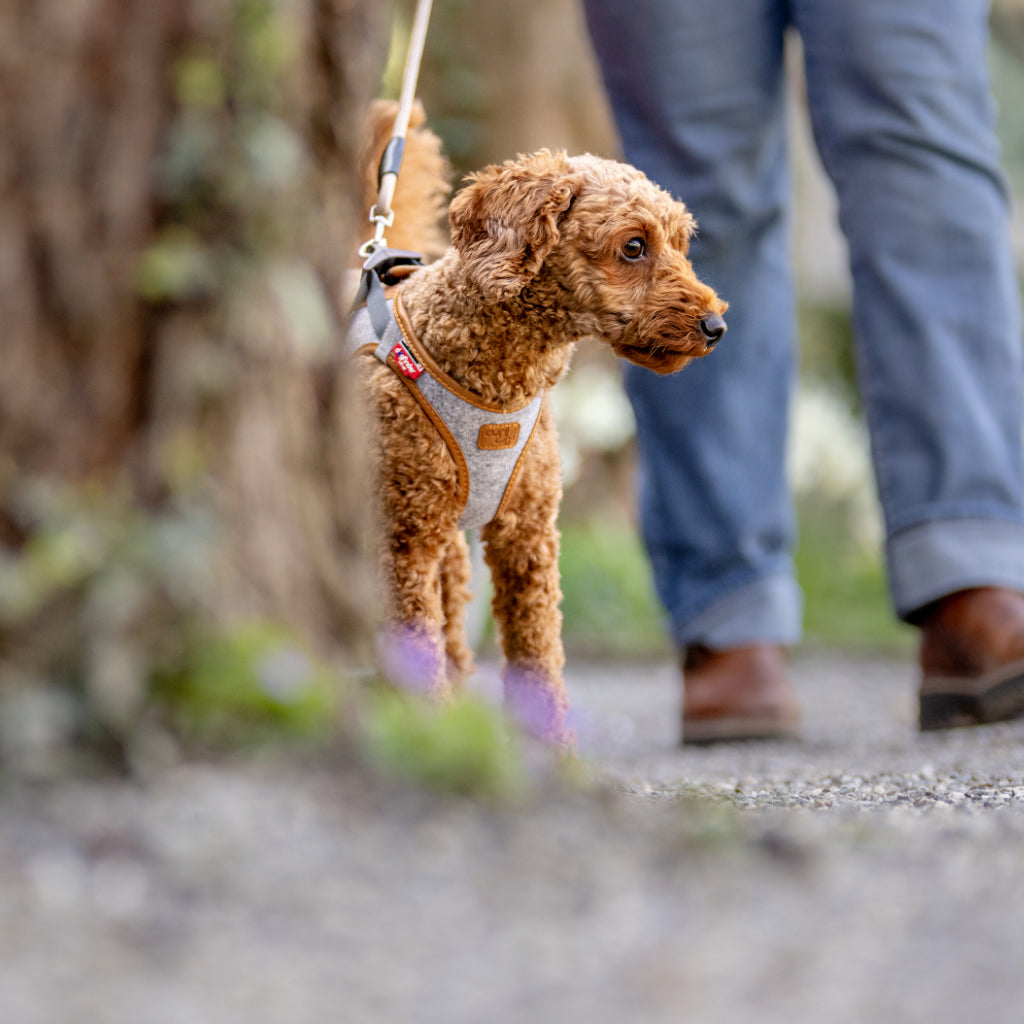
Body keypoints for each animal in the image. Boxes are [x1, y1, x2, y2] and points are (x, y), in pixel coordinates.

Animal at [352, 138, 729, 745]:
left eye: (680, 243)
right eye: (634, 246)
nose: (716, 327)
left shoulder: (527, 536)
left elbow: (538, 653)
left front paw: (553, 751)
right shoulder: (405, 541)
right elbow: (416, 647)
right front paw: (426, 734)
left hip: (448, 551)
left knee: (453, 640)